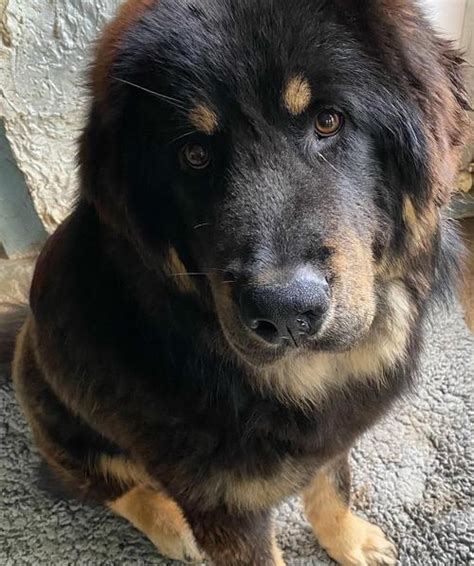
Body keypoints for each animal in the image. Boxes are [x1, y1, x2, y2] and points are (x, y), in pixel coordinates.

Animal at [5, 0, 468, 564]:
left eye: (328, 120)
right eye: (194, 154)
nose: (286, 311)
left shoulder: (328, 438)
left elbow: (332, 484)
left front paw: (349, 540)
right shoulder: (224, 505)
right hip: (59, 414)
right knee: (97, 482)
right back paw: (168, 524)